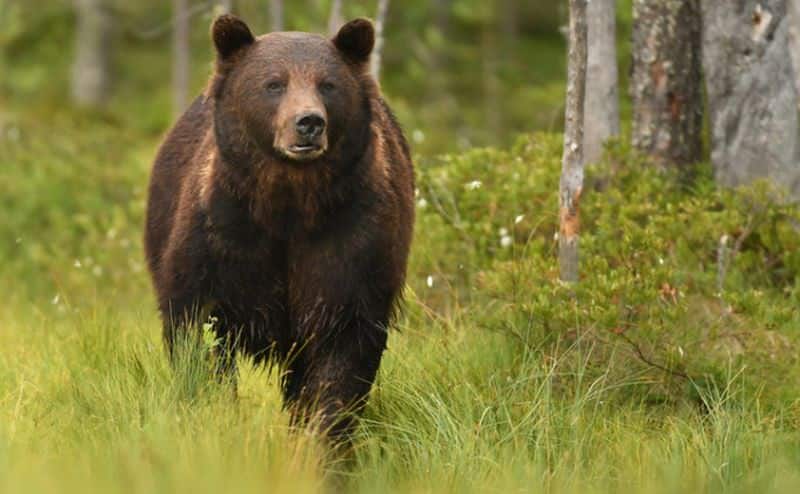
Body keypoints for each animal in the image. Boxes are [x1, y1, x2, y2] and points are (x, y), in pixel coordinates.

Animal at [145, 15, 416, 440]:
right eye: (273, 83)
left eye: (327, 83)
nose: (309, 123)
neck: (288, 205)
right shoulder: (222, 236)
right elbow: (196, 329)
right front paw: (213, 412)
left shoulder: (352, 240)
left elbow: (345, 346)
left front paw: (323, 436)